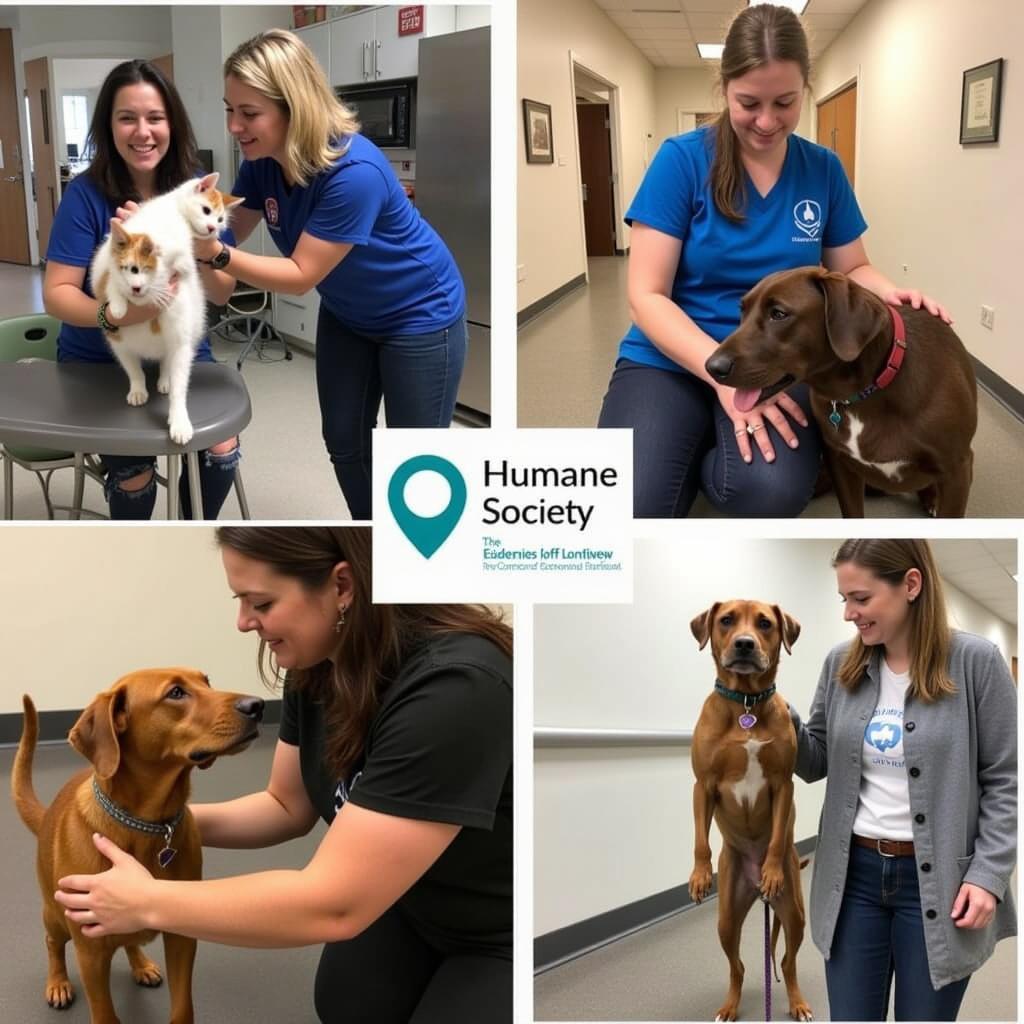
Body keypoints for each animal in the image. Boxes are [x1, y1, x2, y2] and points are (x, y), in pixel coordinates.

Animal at [12, 667, 264, 1024]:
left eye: (207, 682)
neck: (148, 825)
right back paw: (57, 981)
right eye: (176, 693)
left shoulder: (181, 937)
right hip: (55, 915)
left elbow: (182, 1006)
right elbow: (105, 1012)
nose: (257, 705)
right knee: (52, 942)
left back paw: (141, 964)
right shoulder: (90, 952)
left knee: (129, 940)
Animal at [91, 173, 242, 444]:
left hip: (180, 339)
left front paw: (178, 421)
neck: (174, 210)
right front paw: (118, 302)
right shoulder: (106, 260)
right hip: (120, 344)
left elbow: (180, 263)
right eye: (206, 210)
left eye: (220, 220)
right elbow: (111, 278)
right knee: (134, 367)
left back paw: (165, 381)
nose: (212, 229)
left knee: (169, 364)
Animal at [692, 602, 811, 1019]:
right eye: (726, 619)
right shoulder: (703, 784)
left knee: (788, 962)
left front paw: (771, 869)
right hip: (727, 918)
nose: (744, 644)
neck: (745, 703)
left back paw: (797, 1002)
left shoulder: (783, 784)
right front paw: (698, 874)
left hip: (794, 912)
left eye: (765, 623)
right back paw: (730, 1005)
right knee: (739, 966)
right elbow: (700, 840)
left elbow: (775, 837)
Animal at [704, 266, 974, 516]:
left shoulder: (957, 470)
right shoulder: (840, 463)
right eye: (742, 311)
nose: (712, 367)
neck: (865, 392)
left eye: (779, 314)